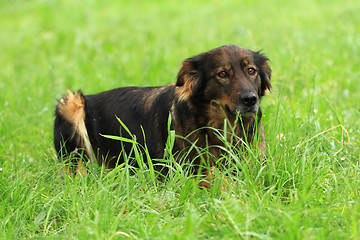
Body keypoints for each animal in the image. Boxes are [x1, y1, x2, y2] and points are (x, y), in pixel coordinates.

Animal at [54, 45, 272, 178]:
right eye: (223, 74)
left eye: (251, 71)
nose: (250, 100)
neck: (223, 126)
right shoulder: (182, 169)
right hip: (71, 103)